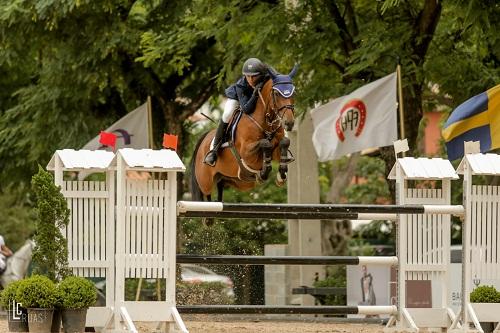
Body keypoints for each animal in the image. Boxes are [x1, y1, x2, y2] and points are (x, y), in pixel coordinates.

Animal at [188, 65, 296, 200]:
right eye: (276, 93)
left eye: (294, 93)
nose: (289, 122)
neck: (265, 121)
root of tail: (203, 140)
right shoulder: (246, 153)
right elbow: (265, 143)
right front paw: (263, 173)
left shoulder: (276, 150)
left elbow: (284, 142)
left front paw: (281, 176)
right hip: (205, 184)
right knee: (206, 199)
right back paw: (211, 156)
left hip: (226, 180)